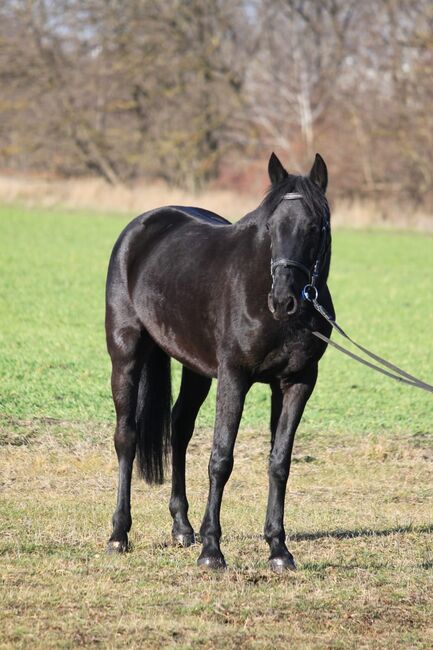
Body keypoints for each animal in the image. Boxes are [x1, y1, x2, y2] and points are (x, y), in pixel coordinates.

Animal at [105, 151, 334, 568]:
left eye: (314, 227)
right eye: (271, 226)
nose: (283, 300)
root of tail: (143, 226)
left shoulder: (297, 383)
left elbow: (279, 462)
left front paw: (278, 549)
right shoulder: (234, 377)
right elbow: (221, 458)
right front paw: (213, 550)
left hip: (195, 369)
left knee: (179, 428)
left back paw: (182, 528)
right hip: (125, 351)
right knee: (126, 437)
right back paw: (119, 534)